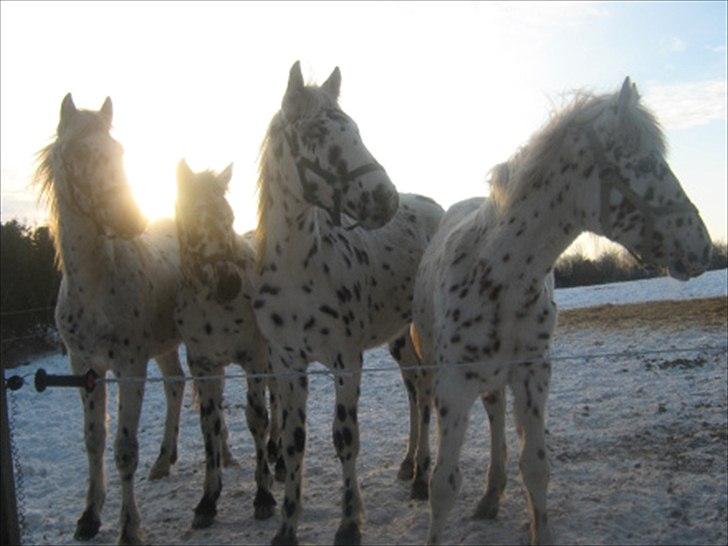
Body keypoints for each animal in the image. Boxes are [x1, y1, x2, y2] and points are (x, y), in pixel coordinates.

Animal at [32, 95, 192, 540]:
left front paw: (129, 528)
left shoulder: (129, 367)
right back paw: (164, 460)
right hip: (165, 346)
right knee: (175, 385)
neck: (95, 291)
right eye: (79, 154)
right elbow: (94, 440)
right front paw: (89, 516)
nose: (130, 220)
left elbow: (124, 449)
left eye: (119, 152)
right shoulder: (84, 368)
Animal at [173, 159, 284, 524]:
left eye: (229, 218)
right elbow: (210, 426)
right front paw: (208, 500)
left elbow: (257, 419)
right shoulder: (204, 367)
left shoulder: (253, 360)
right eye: (193, 219)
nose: (228, 284)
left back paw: (279, 460)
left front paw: (263, 495)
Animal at [256, 61, 444, 540]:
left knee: (428, 393)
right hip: (400, 339)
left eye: (354, 128)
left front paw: (349, 523)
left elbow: (345, 439)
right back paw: (409, 465)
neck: (298, 269)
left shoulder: (347, 360)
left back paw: (423, 478)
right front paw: (287, 527)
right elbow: (293, 443)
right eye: (317, 132)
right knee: (414, 391)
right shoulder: (287, 364)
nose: (385, 199)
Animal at [412, 77, 712, 544]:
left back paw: (492, 496)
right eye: (647, 163)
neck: (500, 277)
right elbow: (443, 485)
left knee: (498, 418)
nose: (701, 245)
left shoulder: (534, 374)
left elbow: (535, 467)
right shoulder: (453, 386)